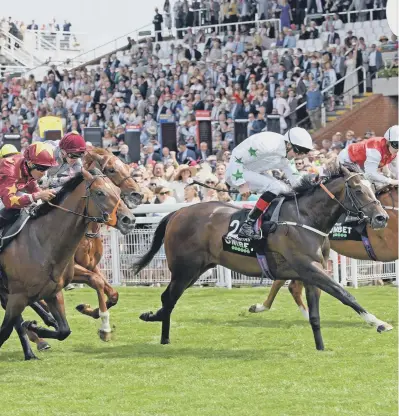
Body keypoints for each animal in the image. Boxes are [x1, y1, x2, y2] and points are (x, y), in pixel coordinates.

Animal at [0, 167, 136, 360]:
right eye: (100, 193)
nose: (129, 220)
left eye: (117, 191)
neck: (42, 242)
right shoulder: (17, 295)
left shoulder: (54, 290)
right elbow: (6, 330)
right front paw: (104, 326)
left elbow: (64, 330)